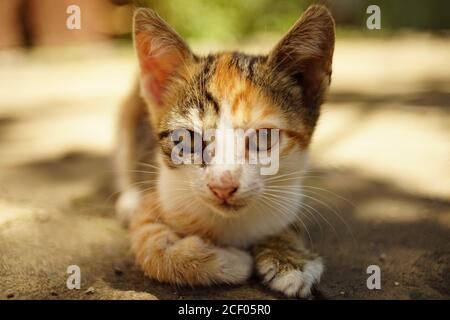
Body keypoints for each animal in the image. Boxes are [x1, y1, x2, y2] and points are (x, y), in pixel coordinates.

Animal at [115, 5, 334, 298]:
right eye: (186, 140)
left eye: (263, 137)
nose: (223, 185)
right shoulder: (155, 204)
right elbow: (156, 250)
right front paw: (233, 261)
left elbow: (285, 224)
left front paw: (291, 260)